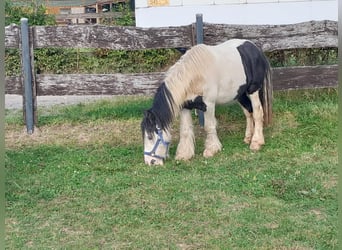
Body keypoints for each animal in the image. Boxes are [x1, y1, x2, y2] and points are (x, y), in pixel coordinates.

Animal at [140, 38, 272, 166]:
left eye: (150, 136)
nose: (150, 162)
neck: (194, 75)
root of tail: (256, 49)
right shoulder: (185, 107)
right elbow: (185, 131)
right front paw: (184, 154)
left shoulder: (209, 104)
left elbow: (209, 127)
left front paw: (211, 149)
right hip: (240, 94)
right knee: (248, 112)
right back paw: (248, 137)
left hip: (253, 90)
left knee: (257, 113)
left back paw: (256, 142)